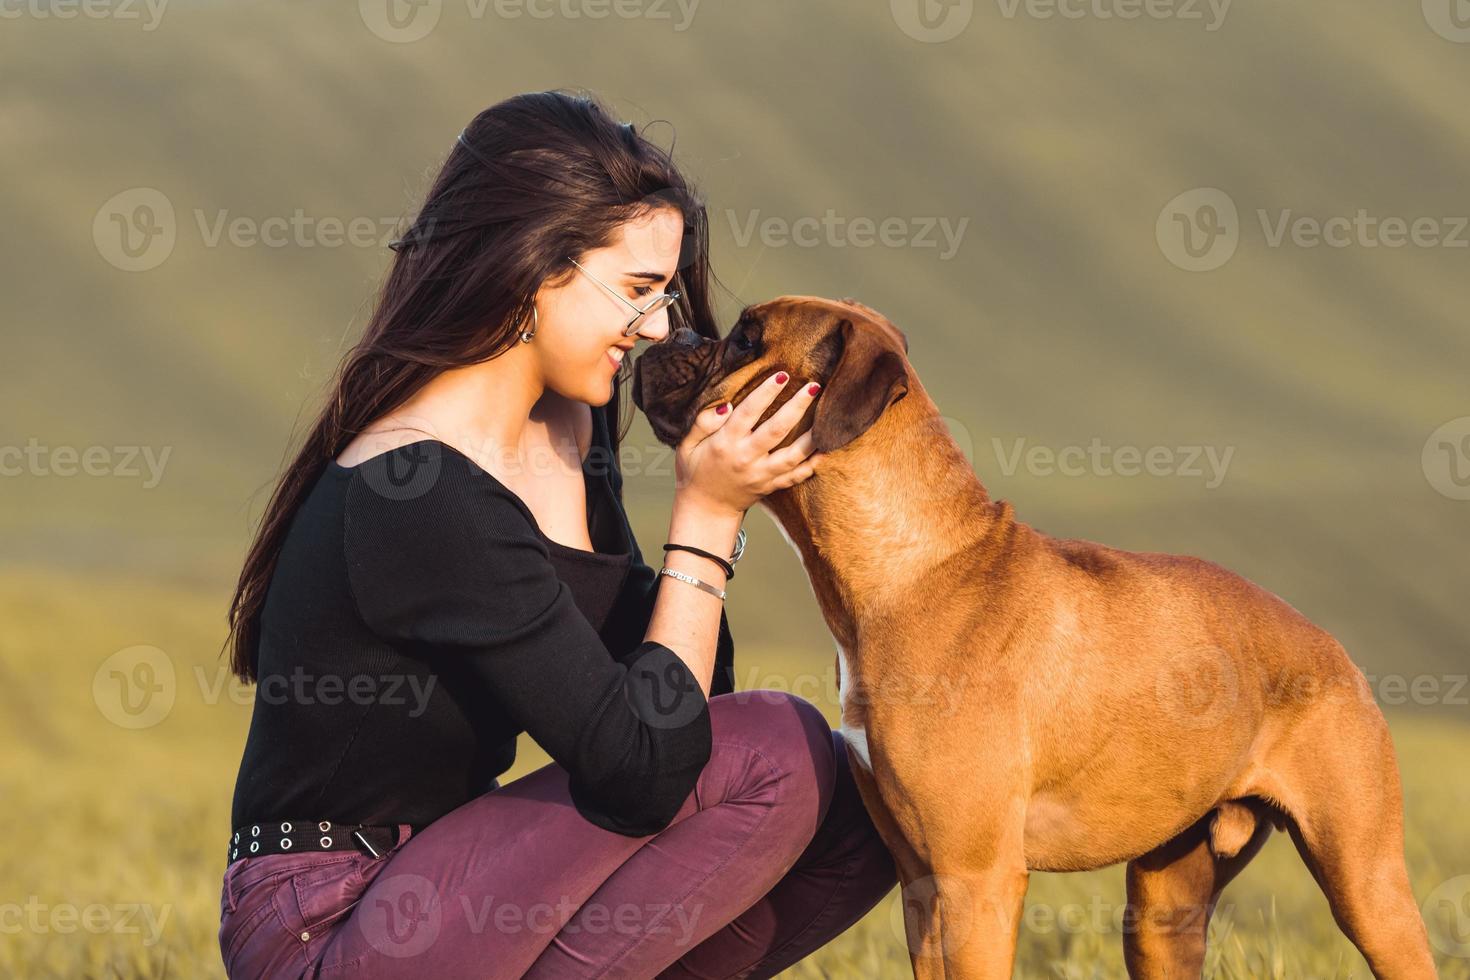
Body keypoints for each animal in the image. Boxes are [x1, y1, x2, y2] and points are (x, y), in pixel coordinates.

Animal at [629, 299, 1434, 980]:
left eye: (746, 338)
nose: (671, 334)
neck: (912, 566)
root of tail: (1330, 646)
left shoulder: (977, 880)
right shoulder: (922, 884)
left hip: (1368, 888)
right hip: (1163, 914)